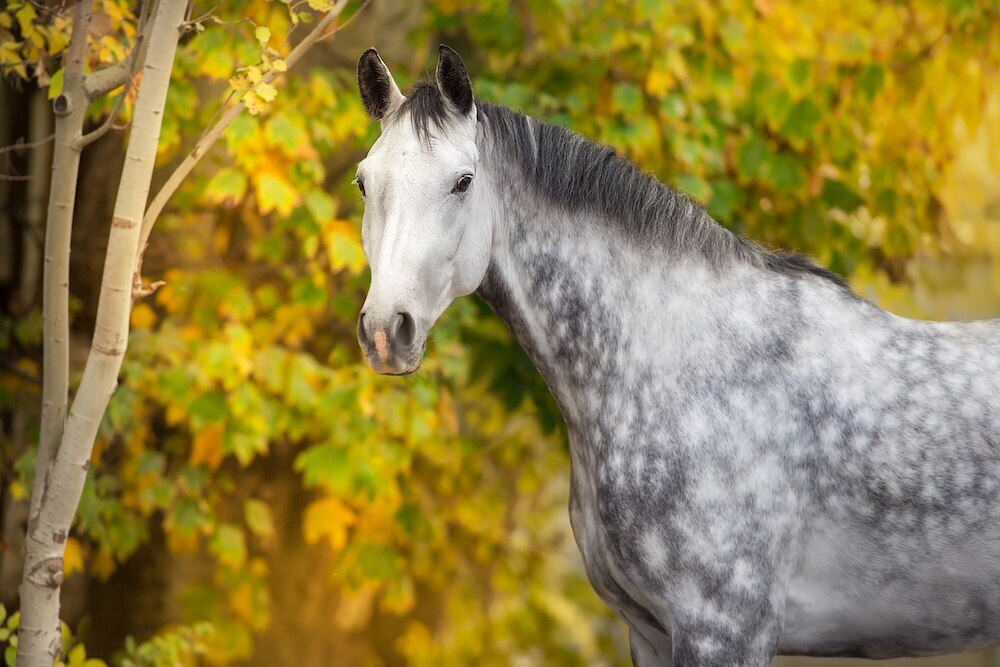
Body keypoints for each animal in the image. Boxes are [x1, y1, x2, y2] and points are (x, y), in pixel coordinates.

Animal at [352, 45, 1000, 666]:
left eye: (462, 182)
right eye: (364, 182)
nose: (387, 330)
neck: (678, 364)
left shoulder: (724, 628)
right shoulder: (649, 633)